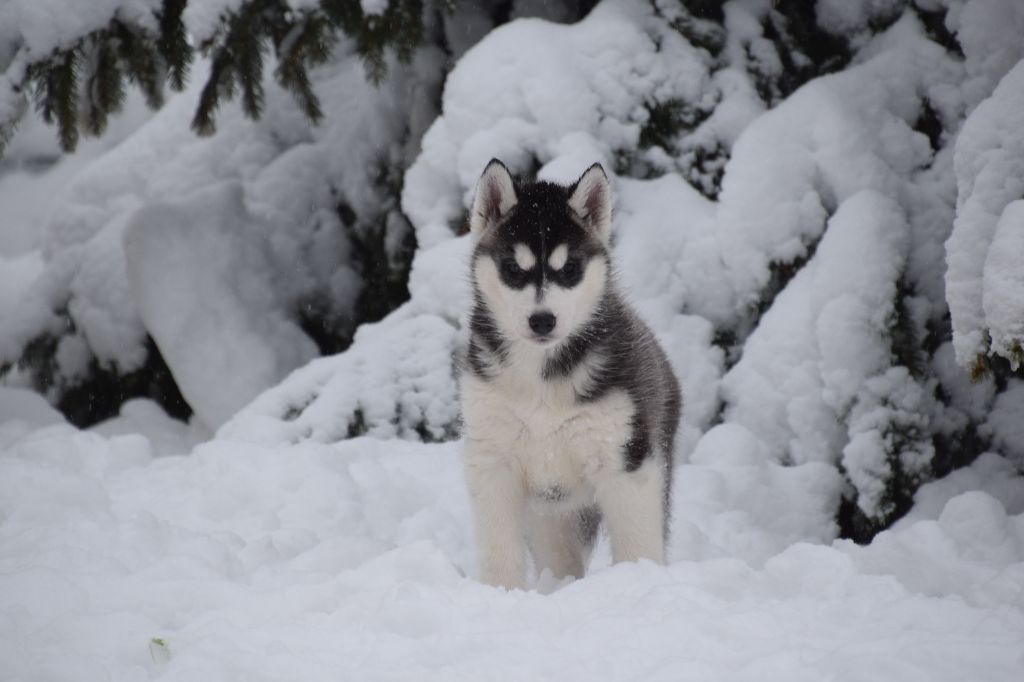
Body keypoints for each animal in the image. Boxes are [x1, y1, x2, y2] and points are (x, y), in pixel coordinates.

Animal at [464, 157, 679, 585]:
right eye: (513, 269)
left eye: (570, 270)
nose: (542, 320)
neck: (542, 375)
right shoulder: (492, 458)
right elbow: (499, 550)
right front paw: (500, 592)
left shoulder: (626, 460)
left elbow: (637, 543)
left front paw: (638, 583)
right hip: (552, 509)